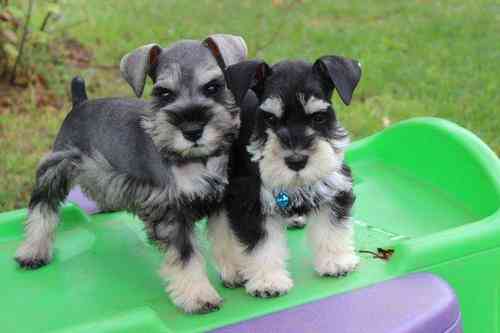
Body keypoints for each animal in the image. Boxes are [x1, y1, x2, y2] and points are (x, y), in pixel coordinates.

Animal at [14, 35, 249, 312]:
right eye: (164, 93)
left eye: (213, 87)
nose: (192, 130)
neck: (198, 159)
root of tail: (80, 102)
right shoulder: (172, 211)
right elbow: (186, 256)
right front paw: (198, 295)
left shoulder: (219, 200)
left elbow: (226, 238)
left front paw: (237, 272)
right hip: (58, 167)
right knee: (42, 208)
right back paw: (33, 251)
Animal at [208, 54, 364, 296]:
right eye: (271, 119)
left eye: (318, 117)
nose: (296, 161)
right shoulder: (251, 199)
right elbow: (261, 244)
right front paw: (268, 282)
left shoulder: (332, 184)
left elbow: (332, 226)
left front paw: (336, 261)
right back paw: (233, 270)